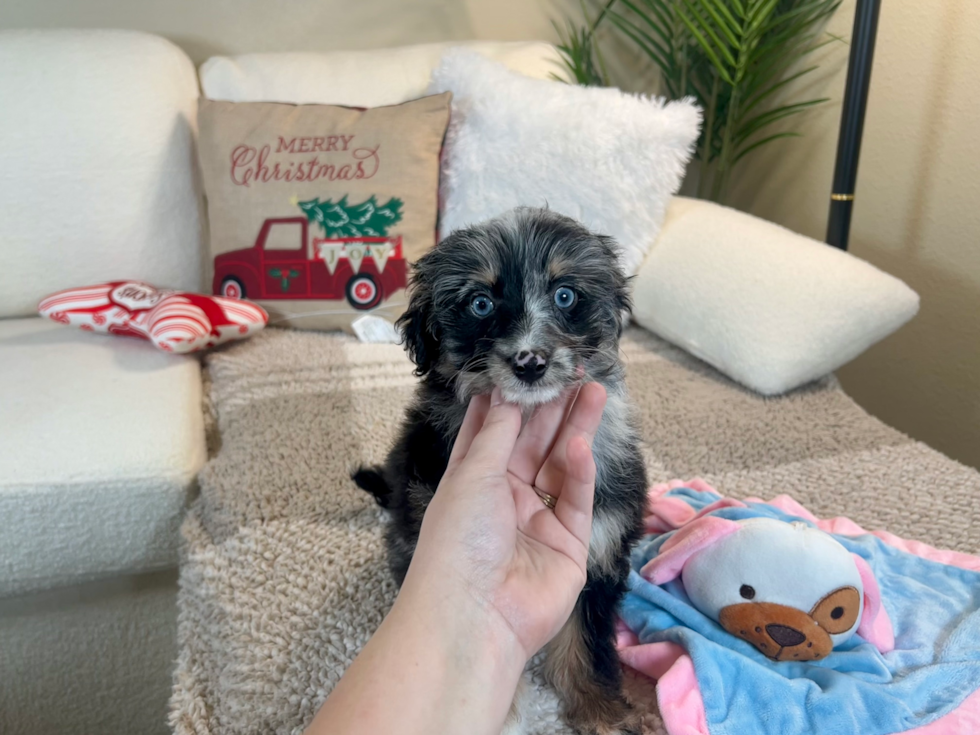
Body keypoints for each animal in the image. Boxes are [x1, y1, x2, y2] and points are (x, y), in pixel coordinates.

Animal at [354, 207, 652, 735]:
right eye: (480, 303)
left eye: (565, 295)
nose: (530, 361)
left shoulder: (600, 545)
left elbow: (588, 641)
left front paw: (603, 713)